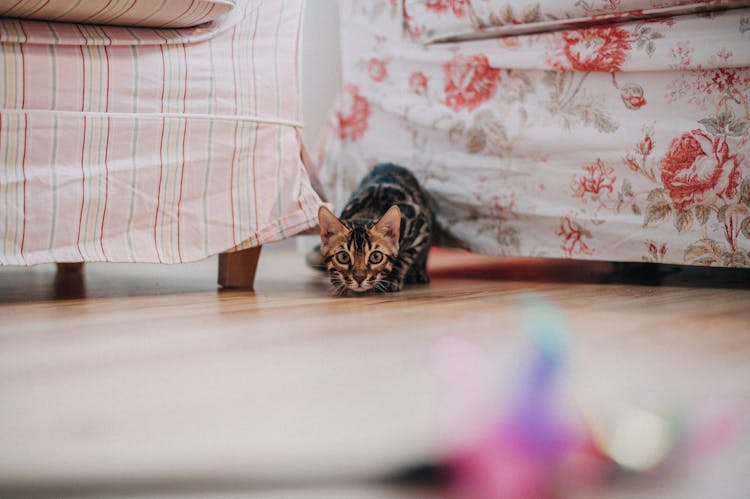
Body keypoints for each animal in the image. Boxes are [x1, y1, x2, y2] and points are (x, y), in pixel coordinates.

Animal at [318, 164, 434, 296]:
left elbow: (403, 258)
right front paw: (337, 282)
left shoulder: (421, 226)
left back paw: (418, 272)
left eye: (376, 257)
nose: (359, 278)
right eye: (343, 257)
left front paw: (391, 278)